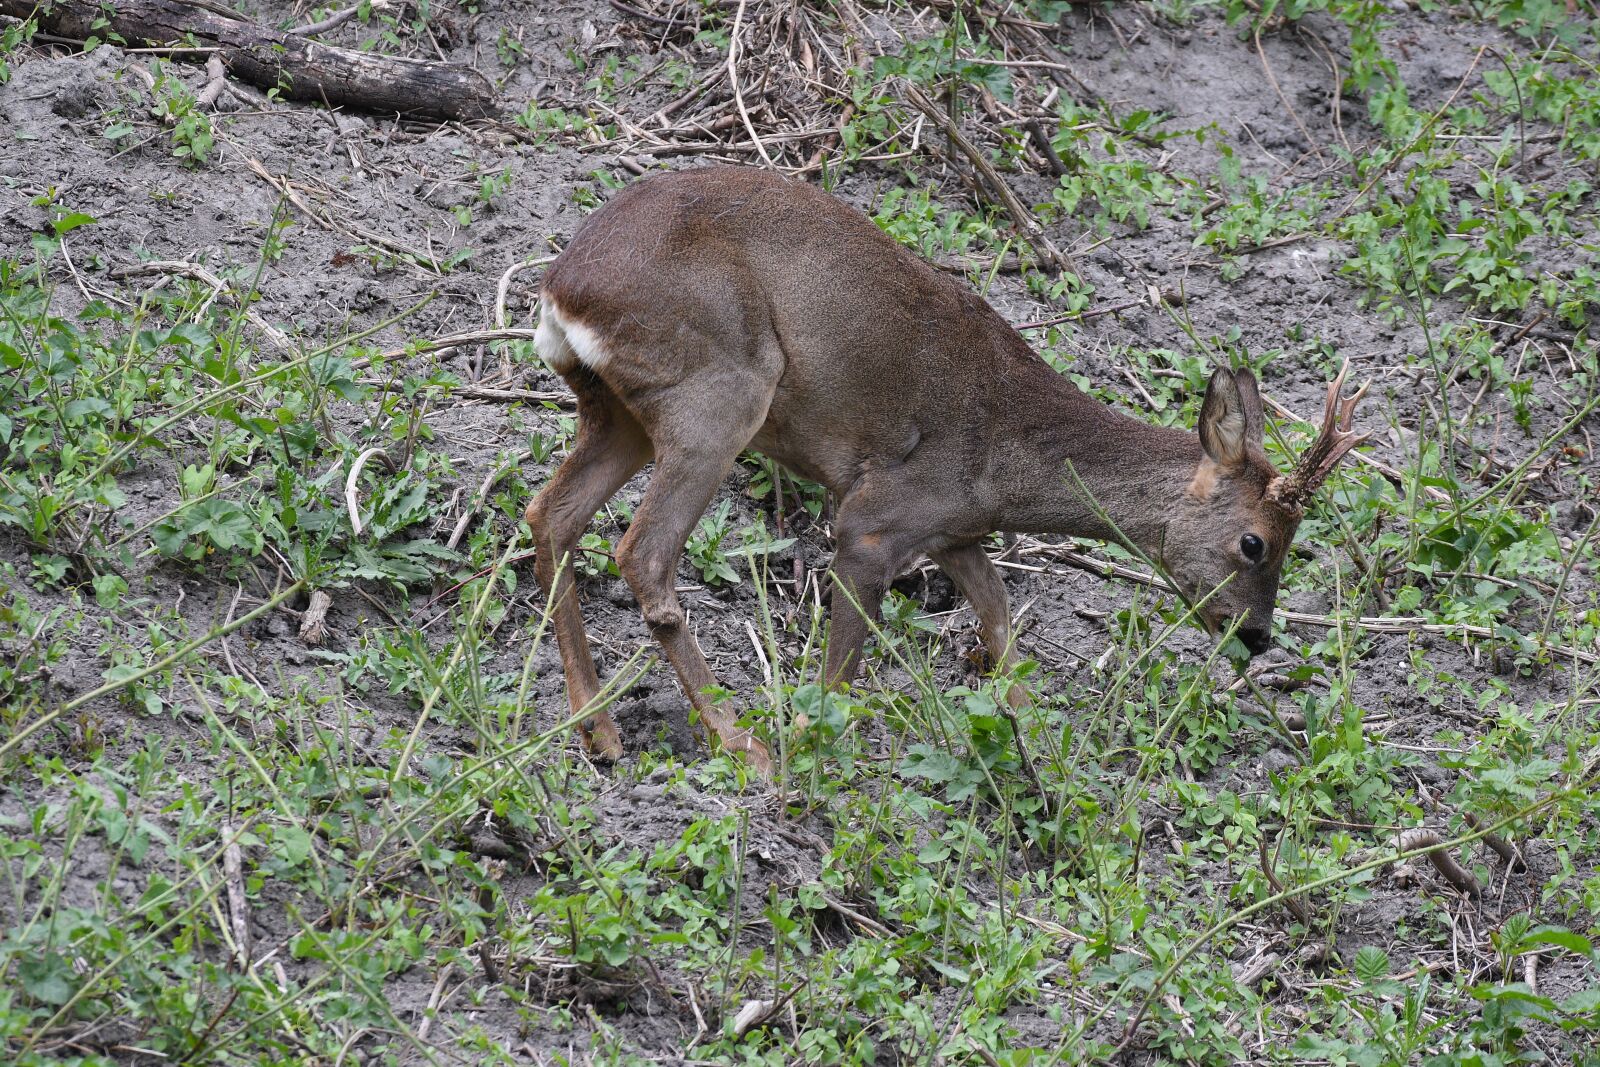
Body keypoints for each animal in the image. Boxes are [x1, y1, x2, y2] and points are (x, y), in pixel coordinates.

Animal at [525, 166, 1368, 776]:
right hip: (718, 389)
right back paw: (743, 746)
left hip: (618, 411)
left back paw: (599, 730)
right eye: (1256, 542)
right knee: (643, 552)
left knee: (552, 512)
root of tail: (561, 290)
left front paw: (1036, 748)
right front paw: (811, 743)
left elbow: (1001, 621)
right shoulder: (873, 517)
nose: (1258, 635)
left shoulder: (953, 530)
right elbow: (842, 673)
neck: (1006, 456)